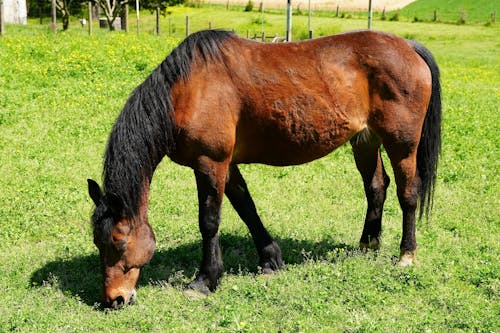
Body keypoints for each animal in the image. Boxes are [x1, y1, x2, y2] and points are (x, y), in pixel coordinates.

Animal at [88, 29, 440, 308]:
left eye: (118, 242)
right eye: (97, 241)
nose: (114, 299)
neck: (187, 89)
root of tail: (408, 46)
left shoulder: (210, 163)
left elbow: (209, 222)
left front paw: (205, 281)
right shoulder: (228, 165)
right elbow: (247, 208)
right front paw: (270, 259)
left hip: (402, 144)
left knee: (408, 193)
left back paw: (406, 255)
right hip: (364, 140)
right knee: (376, 188)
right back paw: (368, 244)